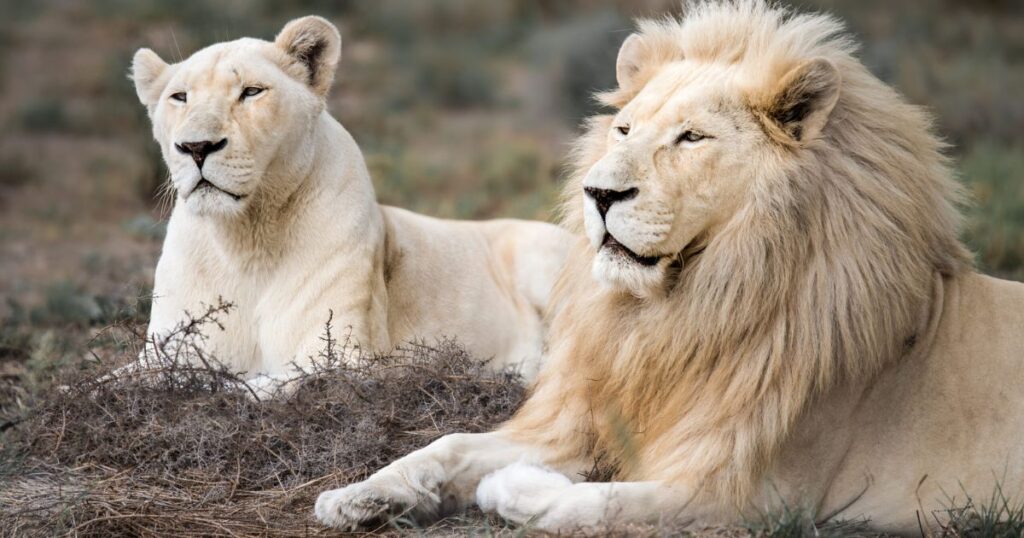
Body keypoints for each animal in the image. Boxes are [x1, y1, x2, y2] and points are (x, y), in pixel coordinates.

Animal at [130, 16, 570, 393]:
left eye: (251, 92)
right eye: (179, 97)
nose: (196, 147)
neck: (245, 239)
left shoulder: (347, 358)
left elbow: (255, 388)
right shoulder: (162, 351)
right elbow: (118, 382)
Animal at [314, 1, 1024, 534]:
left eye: (692, 138)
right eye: (625, 130)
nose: (599, 194)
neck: (672, 317)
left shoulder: (751, 495)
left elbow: (597, 503)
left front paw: (511, 488)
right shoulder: (586, 420)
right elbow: (450, 444)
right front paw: (358, 494)